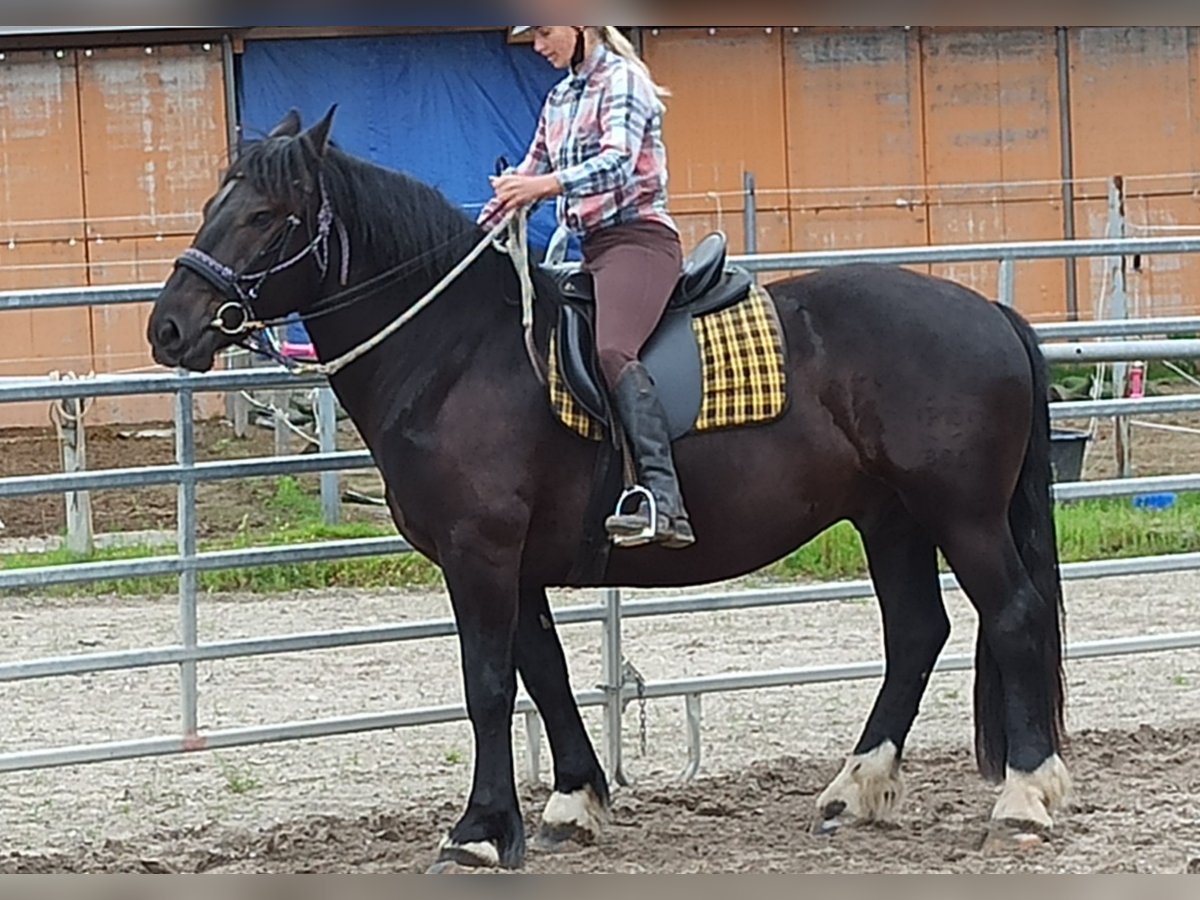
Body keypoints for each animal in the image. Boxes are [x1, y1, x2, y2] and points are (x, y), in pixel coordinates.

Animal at [147, 109, 1070, 868]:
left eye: (267, 216)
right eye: (214, 203)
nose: (170, 328)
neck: (459, 354)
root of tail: (989, 314)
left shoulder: (479, 554)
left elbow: (488, 685)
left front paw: (478, 832)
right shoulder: (513, 564)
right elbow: (545, 672)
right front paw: (570, 804)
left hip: (962, 514)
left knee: (1013, 617)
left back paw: (1023, 800)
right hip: (891, 518)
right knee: (917, 632)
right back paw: (855, 789)